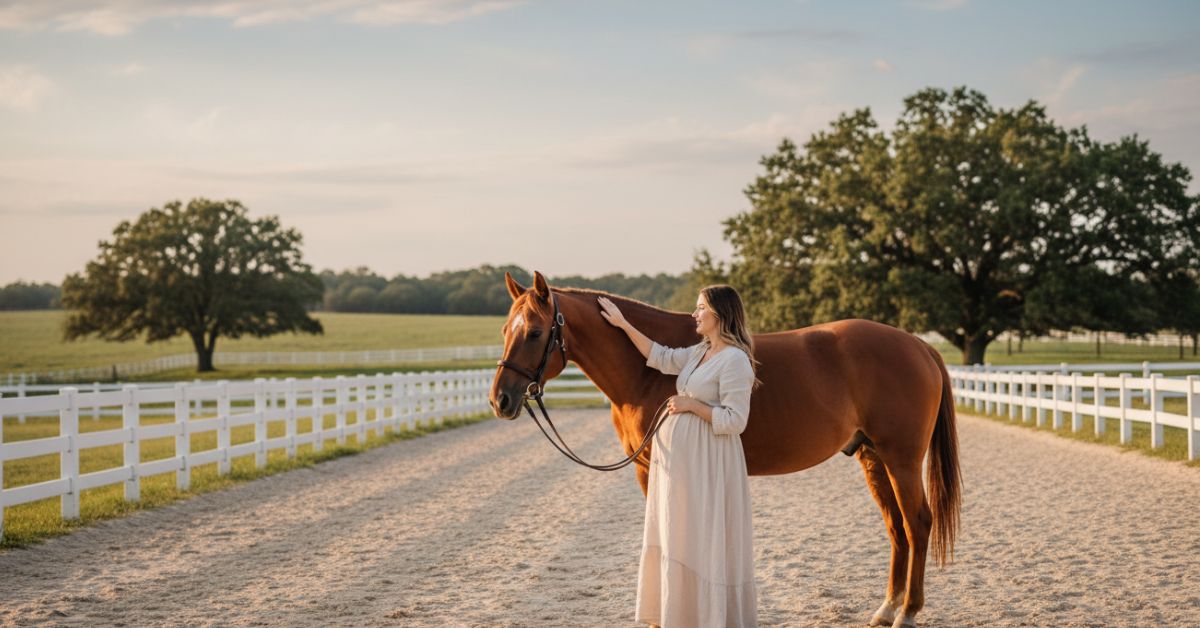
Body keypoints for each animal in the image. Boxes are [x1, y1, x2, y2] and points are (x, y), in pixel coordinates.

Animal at [489, 271, 961, 628]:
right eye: (505, 330)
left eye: (534, 332)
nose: (501, 400)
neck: (643, 371)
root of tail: (919, 344)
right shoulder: (646, 467)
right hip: (872, 457)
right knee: (896, 527)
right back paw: (886, 610)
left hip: (901, 458)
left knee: (918, 523)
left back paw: (908, 613)